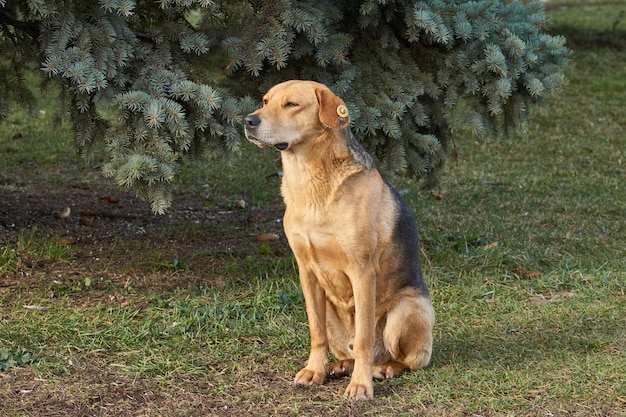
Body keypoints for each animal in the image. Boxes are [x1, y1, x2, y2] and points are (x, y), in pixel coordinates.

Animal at [244, 79, 434, 398]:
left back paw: (383, 369)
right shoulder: (306, 271)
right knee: (347, 349)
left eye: (292, 104)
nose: (248, 121)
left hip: (406, 311)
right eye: (265, 101)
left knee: (404, 359)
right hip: (333, 313)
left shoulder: (362, 272)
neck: (309, 179)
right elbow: (316, 331)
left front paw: (360, 385)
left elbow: (364, 339)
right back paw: (341, 365)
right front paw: (315, 370)